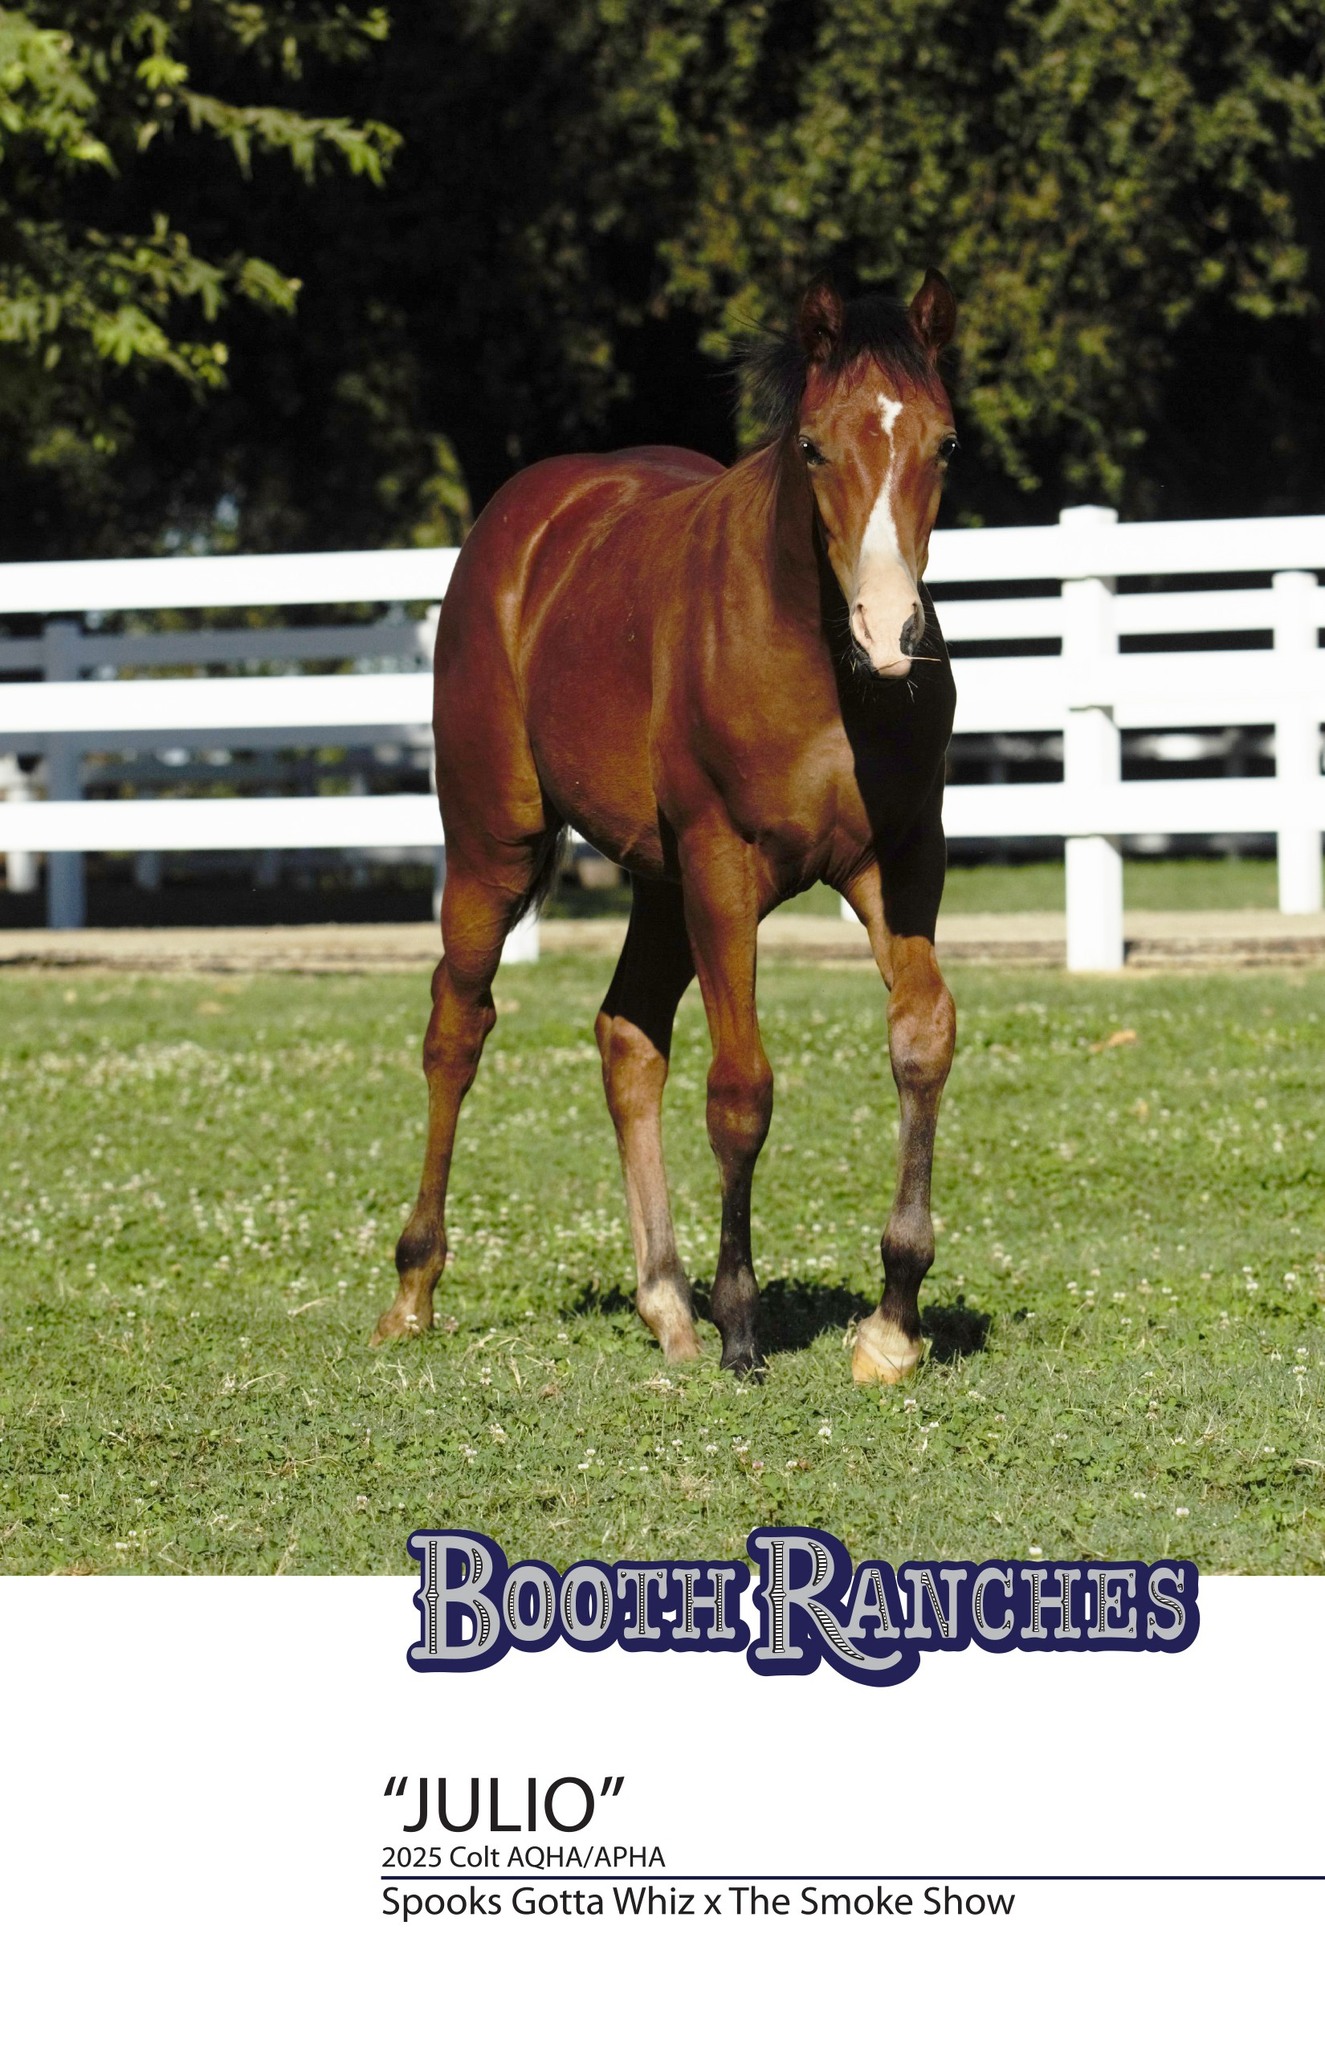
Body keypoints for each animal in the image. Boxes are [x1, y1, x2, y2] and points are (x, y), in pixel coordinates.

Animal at [373, 270, 960, 1387]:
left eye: (943, 443)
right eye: (812, 445)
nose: (889, 631)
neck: (821, 663)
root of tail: (520, 522)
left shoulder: (898, 865)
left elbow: (920, 1041)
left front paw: (891, 1322)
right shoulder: (723, 868)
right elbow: (741, 1091)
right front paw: (742, 1328)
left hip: (656, 883)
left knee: (627, 1037)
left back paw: (663, 1302)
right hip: (496, 849)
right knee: (454, 1030)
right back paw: (415, 1290)